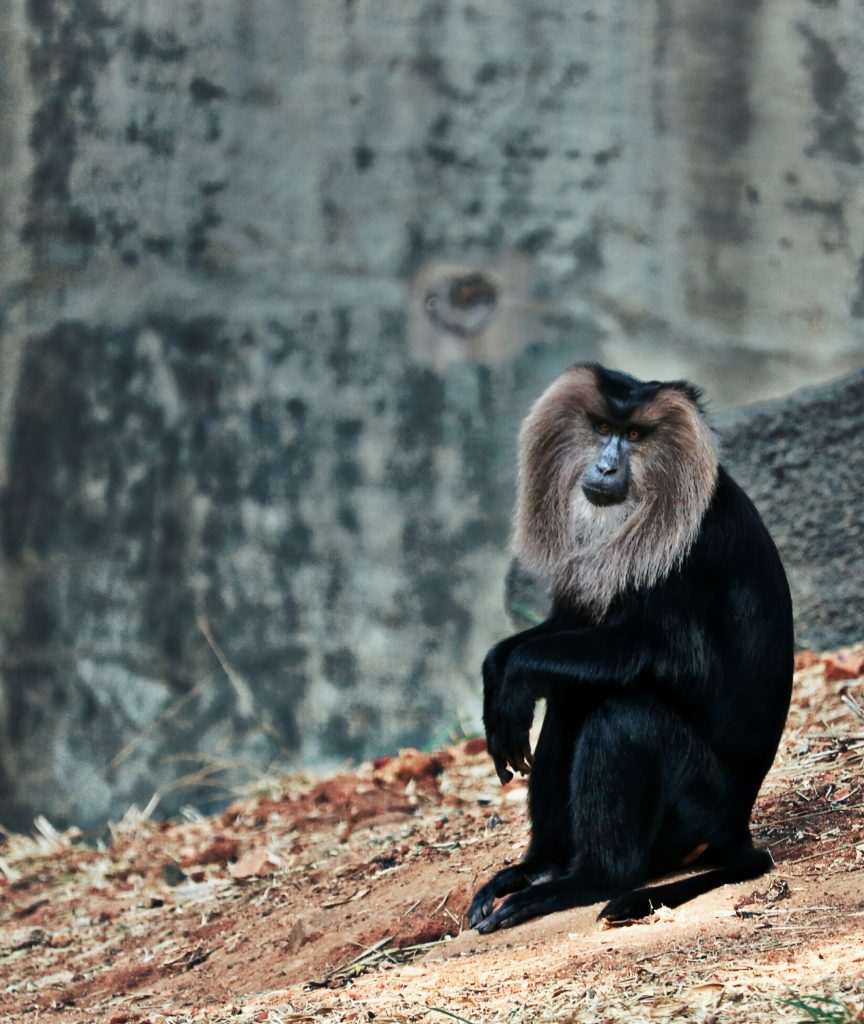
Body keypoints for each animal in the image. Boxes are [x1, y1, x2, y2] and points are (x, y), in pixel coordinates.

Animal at [468, 363, 794, 933]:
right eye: (602, 429)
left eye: (636, 436)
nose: (605, 464)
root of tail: (736, 829)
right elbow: (563, 628)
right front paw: (496, 674)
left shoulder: (690, 547)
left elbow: (683, 664)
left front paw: (515, 679)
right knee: (572, 699)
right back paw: (539, 868)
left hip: (695, 809)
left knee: (622, 716)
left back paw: (586, 881)